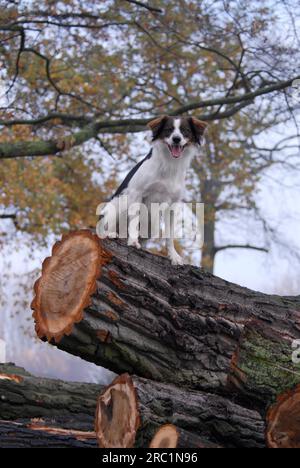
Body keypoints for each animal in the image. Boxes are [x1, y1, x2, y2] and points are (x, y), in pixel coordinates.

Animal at [97, 115, 207, 266]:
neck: (170, 164)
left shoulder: (172, 206)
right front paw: (133, 242)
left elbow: (169, 235)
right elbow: (134, 221)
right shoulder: (137, 193)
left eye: (185, 131)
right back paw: (113, 234)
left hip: (153, 226)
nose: (176, 139)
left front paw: (173, 256)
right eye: (168, 130)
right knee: (107, 227)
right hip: (117, 205)